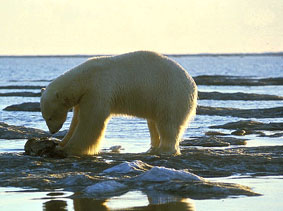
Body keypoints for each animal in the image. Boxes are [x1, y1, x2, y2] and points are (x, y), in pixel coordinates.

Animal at [41, 51, 199, 155]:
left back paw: (164, 150)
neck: (85, 78)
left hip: (170, 95)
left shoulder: (98, 90)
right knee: (154, 123)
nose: (52, 131)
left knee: (167, 123)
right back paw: (153, 147)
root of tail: (192, 85)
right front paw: (61, 143)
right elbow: (76, 120)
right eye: (45, 117)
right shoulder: (83, 97)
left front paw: (70, 148)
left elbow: (91, 121)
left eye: (49, 117)